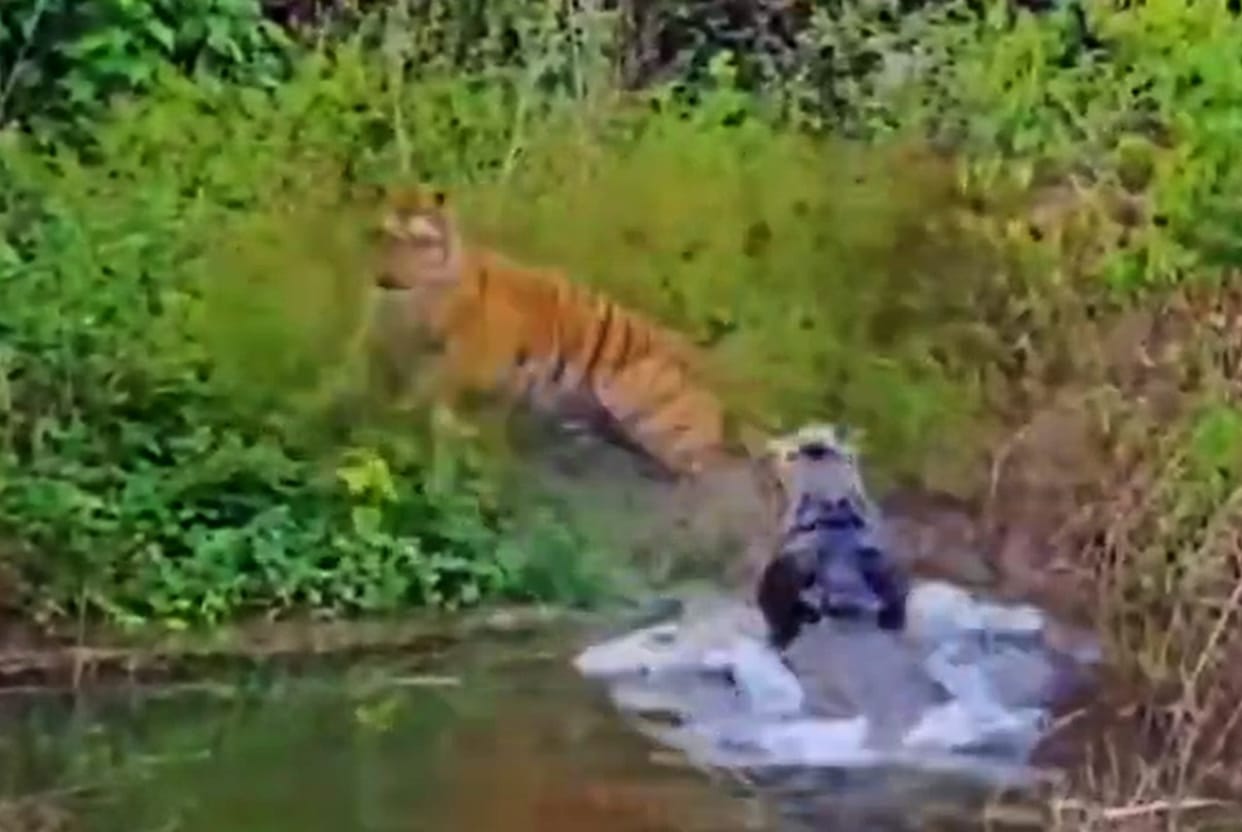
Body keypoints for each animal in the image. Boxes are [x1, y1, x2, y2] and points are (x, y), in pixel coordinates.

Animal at [364, 182, 769, 481]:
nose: (384, 279)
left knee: (707, 465)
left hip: (639, 396)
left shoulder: (476, 357)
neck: (420, 298)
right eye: (384, 236)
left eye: (419, 241)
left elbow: (435, 390)